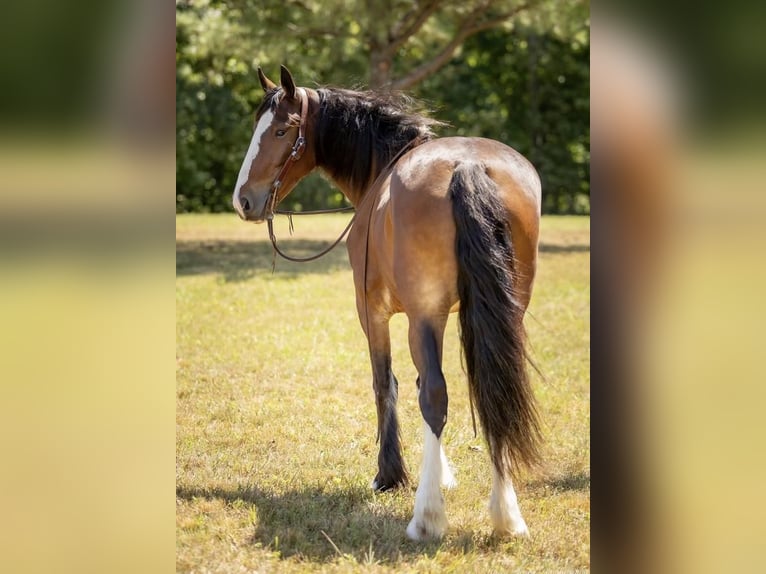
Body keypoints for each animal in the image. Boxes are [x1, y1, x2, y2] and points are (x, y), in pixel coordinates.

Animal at [231, 65, 544, 544]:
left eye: (282, 130)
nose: (243, 200)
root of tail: (468, 166)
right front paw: (440, 472)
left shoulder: (373, 313)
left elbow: (387, 384)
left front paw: (391, 474)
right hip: (503, 313)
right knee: (495, 388)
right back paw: (506, 514)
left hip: (424, 317)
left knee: (436, 394)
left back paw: (428, 517)